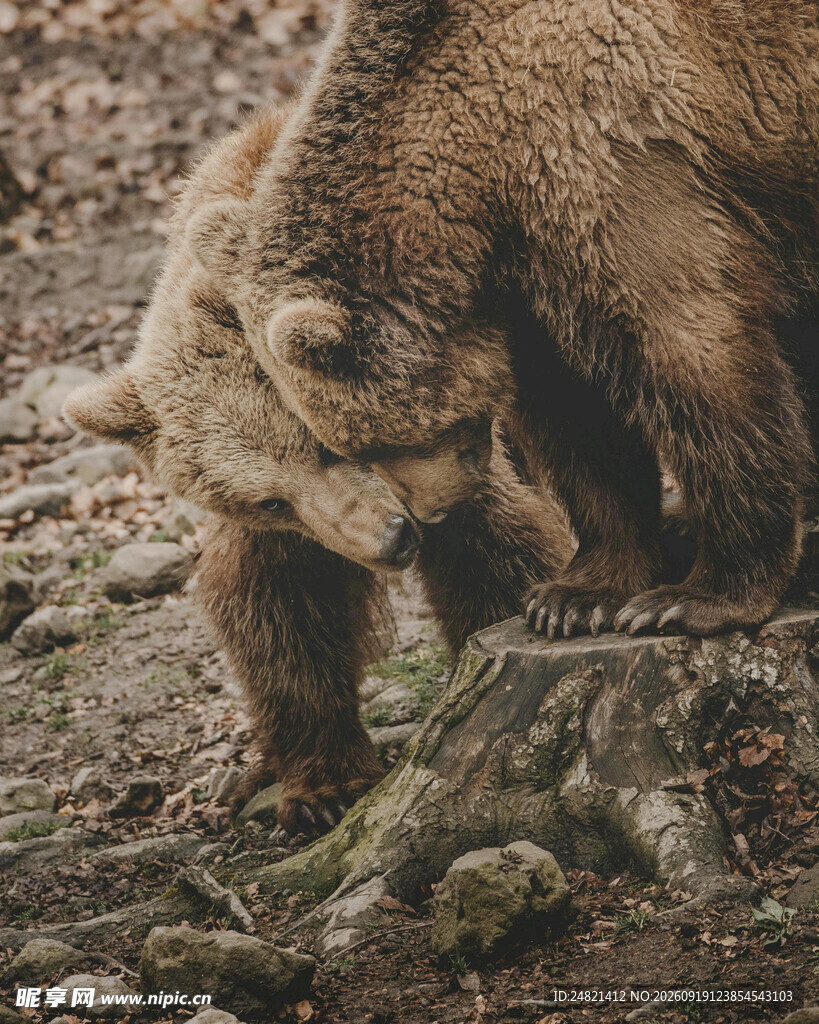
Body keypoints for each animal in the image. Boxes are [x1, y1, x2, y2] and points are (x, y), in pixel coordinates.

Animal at [63, 107, 573, 834]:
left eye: (331, 446)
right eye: (270, 500)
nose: (391, 538)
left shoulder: (449, 454)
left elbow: (495, 552)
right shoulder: (294, 527)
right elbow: (279, 608)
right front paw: (322, 788)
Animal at [187, 0, 819, 641]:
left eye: (360, 447)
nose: (430, 513)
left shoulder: (611, 167)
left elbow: (693, 352)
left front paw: (692, 598)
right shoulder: (529, 276)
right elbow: (577, 415)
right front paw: (572, 598)